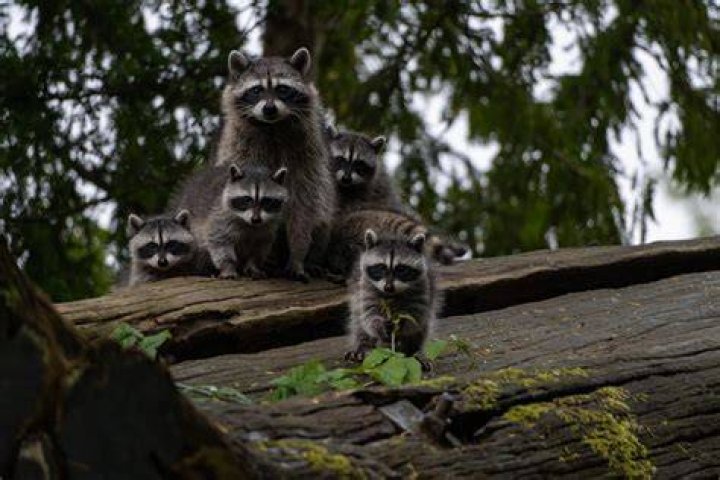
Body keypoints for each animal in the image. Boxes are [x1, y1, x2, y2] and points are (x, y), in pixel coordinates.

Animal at [215, 47, 335, 282]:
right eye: (256, 90)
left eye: (282, 89)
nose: (269, 109)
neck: (272, 127)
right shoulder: (239, 150)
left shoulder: (307, 158)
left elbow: (304, 206)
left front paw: (298, 254)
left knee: (322, 216)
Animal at [346, 229, 438, 366]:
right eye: (381, 267)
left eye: (401, 269)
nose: (388, 287)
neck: (391, 295)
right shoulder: (364, 286)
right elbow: (369, 316)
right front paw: (379, 325)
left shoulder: (423, 287)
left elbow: (416, 317)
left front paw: (402, 323)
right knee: (358, 323)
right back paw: (363, 346)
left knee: (422, 329)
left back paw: (416, 351)